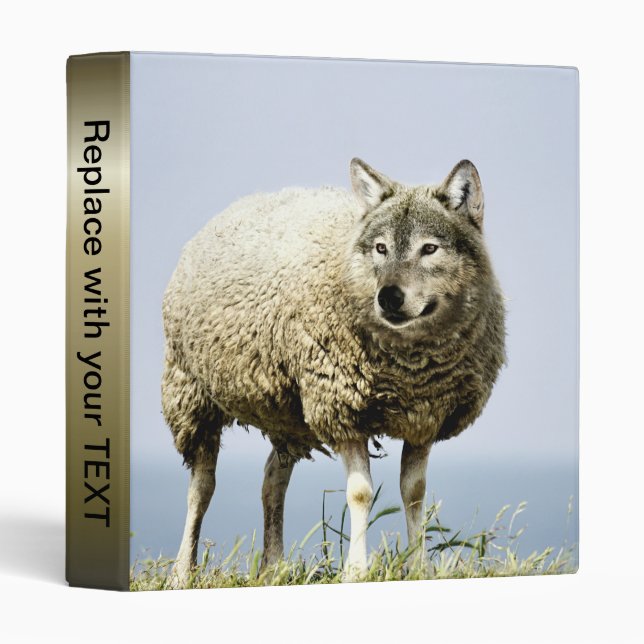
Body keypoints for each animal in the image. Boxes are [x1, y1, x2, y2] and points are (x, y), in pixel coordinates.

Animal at [162, 158, 506, 583]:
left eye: (430, 248)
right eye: (380, 247)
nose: (389, 297)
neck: (409, 368)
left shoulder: (425, 417)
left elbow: (414, 492)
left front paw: (418, 567)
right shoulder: (342, 408)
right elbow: (360, 493)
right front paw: (356, 571)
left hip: (288, 414)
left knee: (272, 480)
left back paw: (273, 567)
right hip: (191, 393)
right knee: (201, 487)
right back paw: (182, 571)